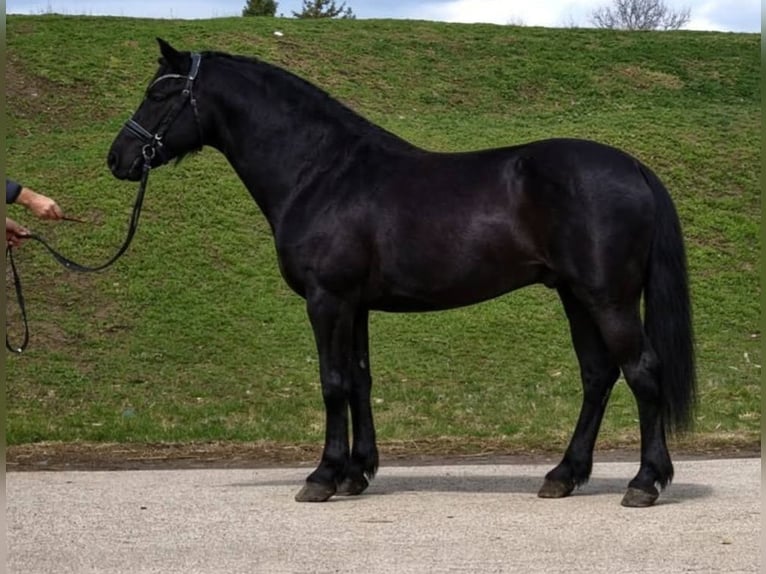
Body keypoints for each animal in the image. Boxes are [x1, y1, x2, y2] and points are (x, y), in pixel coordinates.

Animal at [107, 38, 695, 507]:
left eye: (158, 95)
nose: (118, 158)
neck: (322, 173)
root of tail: (634, 168)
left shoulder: (327, 299)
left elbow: (332, 382)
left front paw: (322, 477)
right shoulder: (356, 305)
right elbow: (360, 380)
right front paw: (356, 473)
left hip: (608, 299)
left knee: (642, 371)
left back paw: (645, 482)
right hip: (575, 296)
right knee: (597, 375)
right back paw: (563, 476)